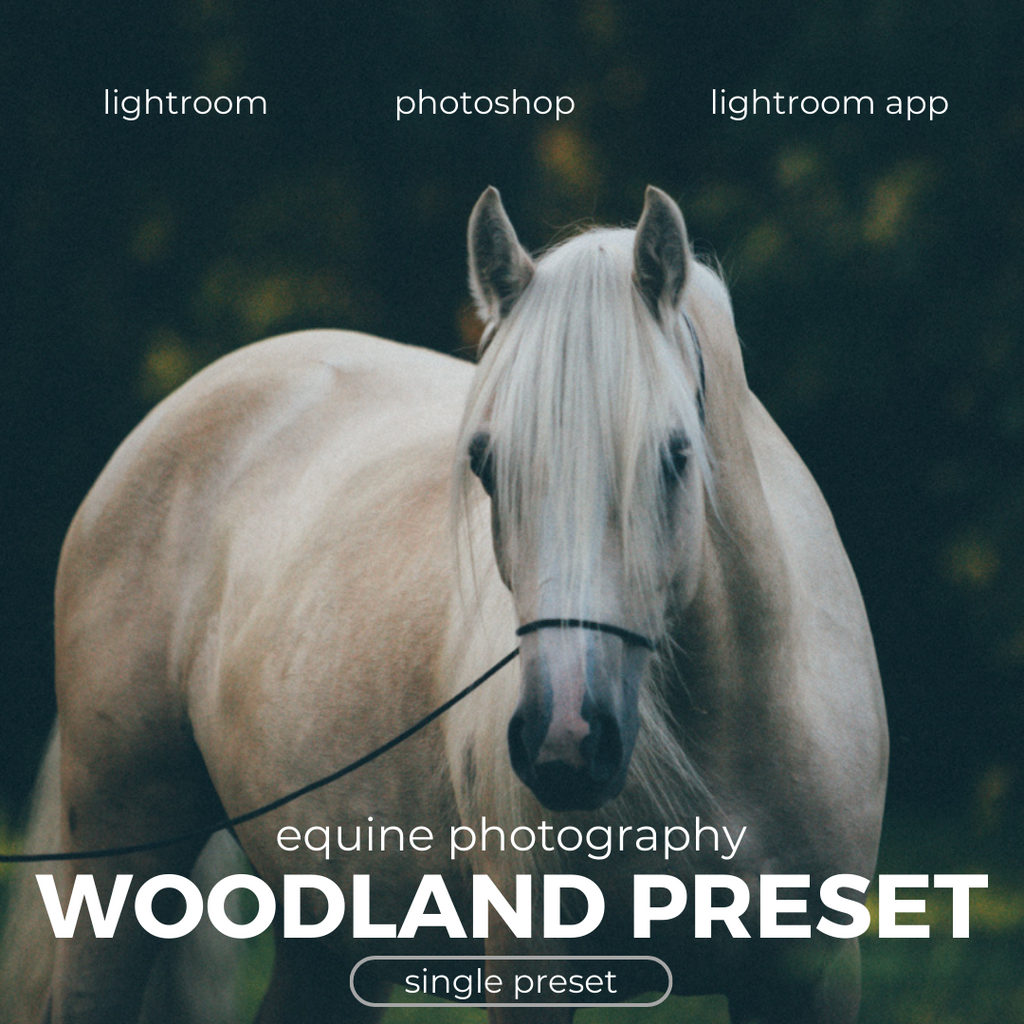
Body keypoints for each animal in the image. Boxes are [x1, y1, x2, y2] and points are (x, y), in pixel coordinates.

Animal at [0, 186, 887, 1023]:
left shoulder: (814, 981)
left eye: (675, 456)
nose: (566, 741)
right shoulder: (531, 968)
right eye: (487, 465)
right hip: (119, 851)